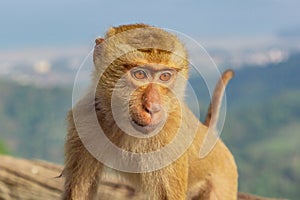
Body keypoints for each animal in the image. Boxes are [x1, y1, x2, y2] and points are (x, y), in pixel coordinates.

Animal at [62, 23, 238, 200]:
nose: (153, 107)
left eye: (165, 76)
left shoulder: (168, 136)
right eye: (140, 74)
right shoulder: (86, 117)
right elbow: (80, 191)